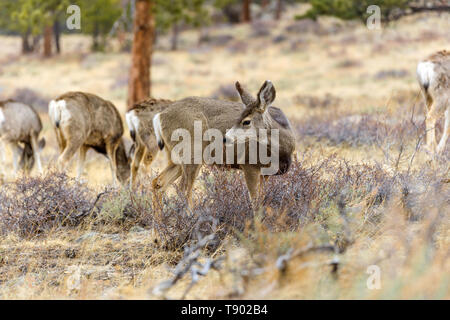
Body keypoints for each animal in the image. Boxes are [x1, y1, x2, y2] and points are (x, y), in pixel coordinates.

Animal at [153, 80, 298, 208]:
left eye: (246, 121)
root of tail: (159, 116)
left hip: (175, 156)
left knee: (159, 183)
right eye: (238, 117)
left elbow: (262, 199)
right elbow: (255, 202)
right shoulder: (249, 163)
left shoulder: (266, 174)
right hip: (192, 152)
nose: (225, 138)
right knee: (183, 190)